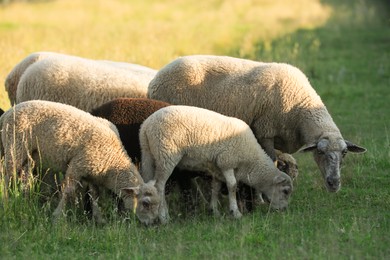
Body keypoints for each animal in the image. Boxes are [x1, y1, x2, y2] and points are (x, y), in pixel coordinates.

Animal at [0, 100, 161, 224]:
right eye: (145, 203)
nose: (153, 224)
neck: (112, 160)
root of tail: (9, 112)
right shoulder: (77, 165)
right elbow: (68, 191)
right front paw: (57, 217)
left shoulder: (93, 173)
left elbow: (94, 195)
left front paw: (99, 218)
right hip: (15, 146)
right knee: (7, 176)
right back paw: (7, 203)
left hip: (30, 155)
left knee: (25, 180)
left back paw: (25, 201)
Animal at [139, 104, 292, 224]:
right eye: (285, 191)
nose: (284, 210)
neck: (250, 161)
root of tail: (146, 126)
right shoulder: (227, 162)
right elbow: (232, 186)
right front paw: (235, 212)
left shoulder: (217, 167)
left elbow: (216, 187)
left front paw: (214, 211)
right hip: (166, 154)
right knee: (160, 186)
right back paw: (164, 217)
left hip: (149, 154)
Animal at [148, 54, 368, 193]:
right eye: (320, 152)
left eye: (345, 153)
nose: (334, 184)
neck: (300, 108)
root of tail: (155, 80)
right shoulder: (265, 131)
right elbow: (272, 162)